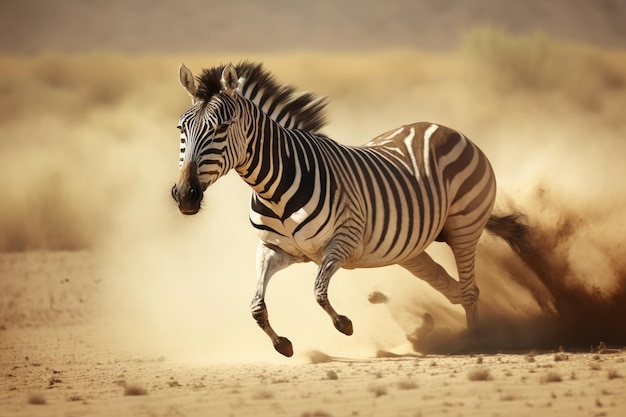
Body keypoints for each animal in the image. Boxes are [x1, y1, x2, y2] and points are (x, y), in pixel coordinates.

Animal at [172, 61, 532, 358]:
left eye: (222, 127)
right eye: (181, 129)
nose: (185, 195)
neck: (274, 188)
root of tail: (444, 128)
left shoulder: (343, 241)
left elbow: (318, 290)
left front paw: (344, 323)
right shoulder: (274, 249)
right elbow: (256, 305)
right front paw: (283, 344)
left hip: (463, 227)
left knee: (469, 290)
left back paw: (475, 340)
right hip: (411, 249)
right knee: (453, 288)